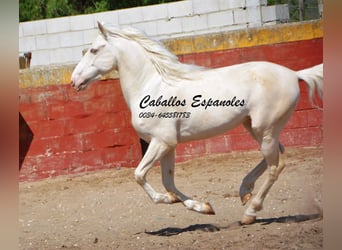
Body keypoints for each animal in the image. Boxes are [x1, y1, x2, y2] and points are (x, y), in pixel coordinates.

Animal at [71, 22, 322, 225]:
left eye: (93, 49)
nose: (74, 81)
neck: (152, 85)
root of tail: (294, 74)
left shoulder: (162, 142)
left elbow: (140, 175)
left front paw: (167, 200)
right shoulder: (167, 145)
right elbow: (168, 182)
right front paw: (204, 207)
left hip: (265, 129)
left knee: (275, 166)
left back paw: (250, 213)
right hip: (255, 128)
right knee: (278, 155)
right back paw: (244, 192)